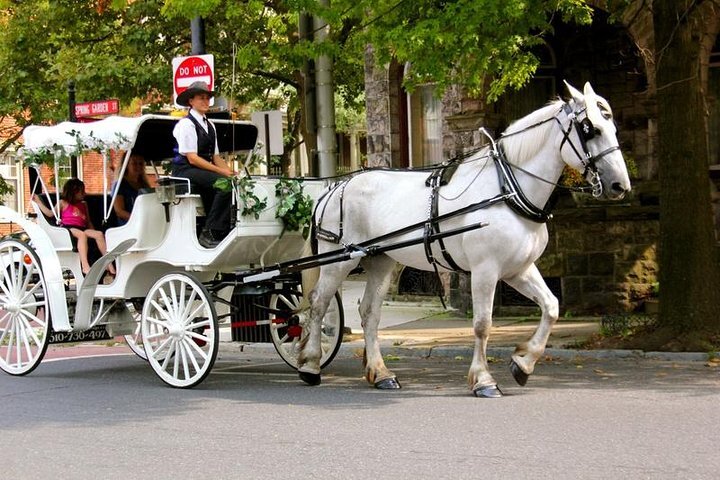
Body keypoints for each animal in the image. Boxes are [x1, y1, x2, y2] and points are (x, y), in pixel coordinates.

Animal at [298, 82, 632, 398]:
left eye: (613, 128)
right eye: (591, 130)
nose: (620, 185)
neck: (508, 190)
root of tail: (335, 187)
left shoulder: (518, 269)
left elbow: (551, 307)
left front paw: (523, 363)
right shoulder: (485, 270)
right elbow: (483, 324)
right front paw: (484, 380)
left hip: (381, 260)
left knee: (369, 312)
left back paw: (381, 373)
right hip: (339, 260)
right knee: (318, 303)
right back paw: (311, 365)